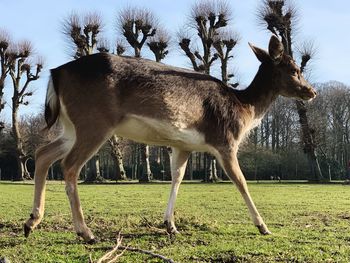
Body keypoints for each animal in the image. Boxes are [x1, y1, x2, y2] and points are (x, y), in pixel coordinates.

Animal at [23, 35, 316, 245]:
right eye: (293, 69)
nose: (311, 91)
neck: (243, 108)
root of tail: (55, 74)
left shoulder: (182, 145)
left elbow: (177, 177)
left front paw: (170, 225)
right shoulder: (225, 141)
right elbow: (241, 181)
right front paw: (263, 226)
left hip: (71, 127)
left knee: (42, 153)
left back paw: (31, 222)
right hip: (94, 122)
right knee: (69, 165)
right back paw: (86, 232)